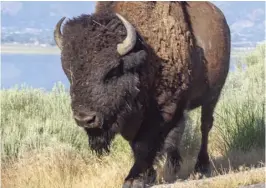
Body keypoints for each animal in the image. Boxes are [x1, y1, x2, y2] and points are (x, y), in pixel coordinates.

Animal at [54, 1, 231, 188]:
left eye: (113, 70)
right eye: (69, 72)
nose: (85, 119)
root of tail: (220, 17)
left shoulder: (161, 110)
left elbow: (144, 143)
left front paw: (134, 178)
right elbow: (139, 143)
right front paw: (149, 174)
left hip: (212, 95)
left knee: (205, 125)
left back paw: (201, 167)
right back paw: (174, 165)